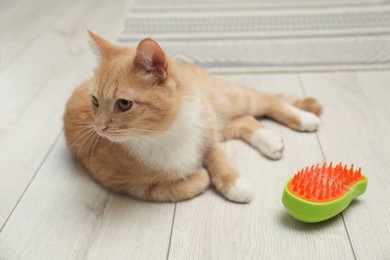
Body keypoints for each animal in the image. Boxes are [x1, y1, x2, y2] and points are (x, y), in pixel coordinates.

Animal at [63, 31, 320, 203]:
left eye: (124, 104)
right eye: (95, 101)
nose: (99, 128)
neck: (166, 133)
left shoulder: (206, 131)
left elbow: (217, 157)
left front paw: (233, 182)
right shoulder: (131, 185)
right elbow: (180, 187)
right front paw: (202, 176)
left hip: (224, 100)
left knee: (264, 99)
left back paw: (304, 118)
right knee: (245, 120)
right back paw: (269, 140)